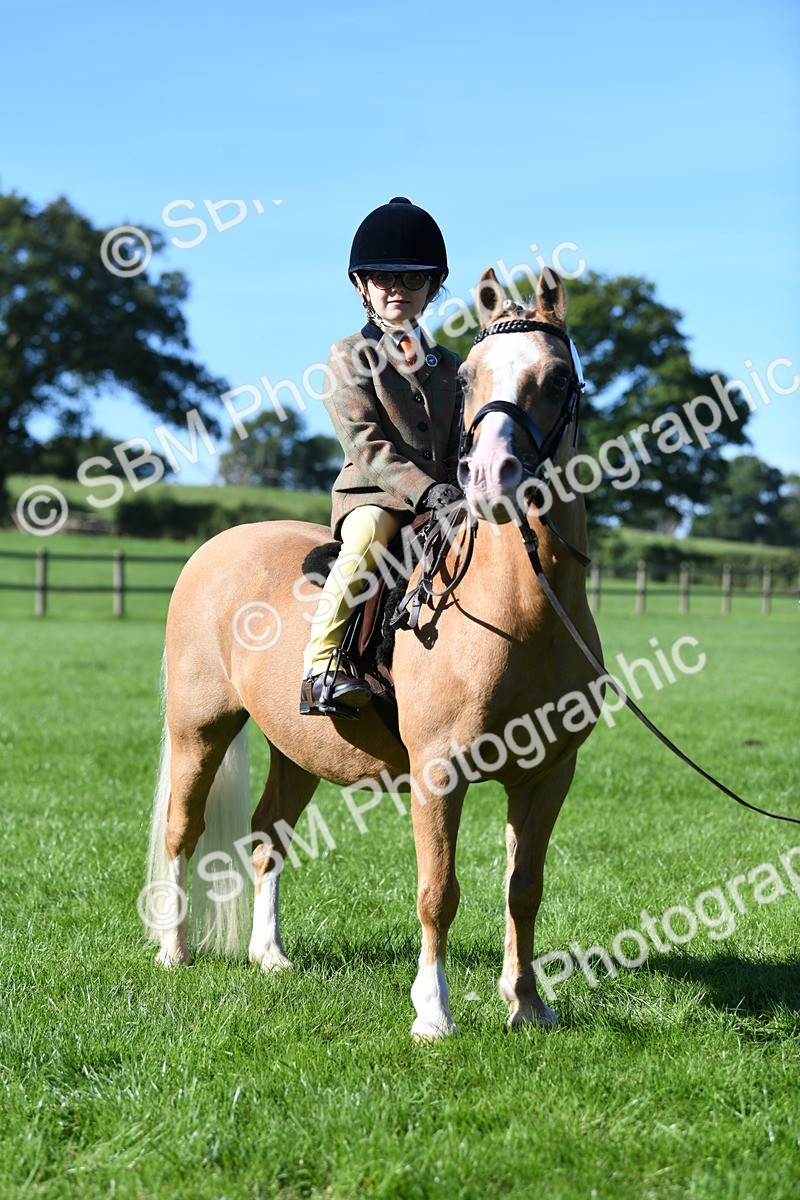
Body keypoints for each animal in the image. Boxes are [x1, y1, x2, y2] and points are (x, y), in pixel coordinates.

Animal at [144, 266, 604, 1037]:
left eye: (557, 376)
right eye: (472, 376)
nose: (489, 477)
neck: (521, 609)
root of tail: (219, 546)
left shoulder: (549, 775)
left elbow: (525, 888)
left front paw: (528, 1004)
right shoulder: (439, 773)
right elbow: (438, 890)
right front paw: (433, 1015)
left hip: (296, 744)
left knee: (268, 834)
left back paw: (269, 955)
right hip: (199, 727)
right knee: (185, 827)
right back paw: (173, 950)